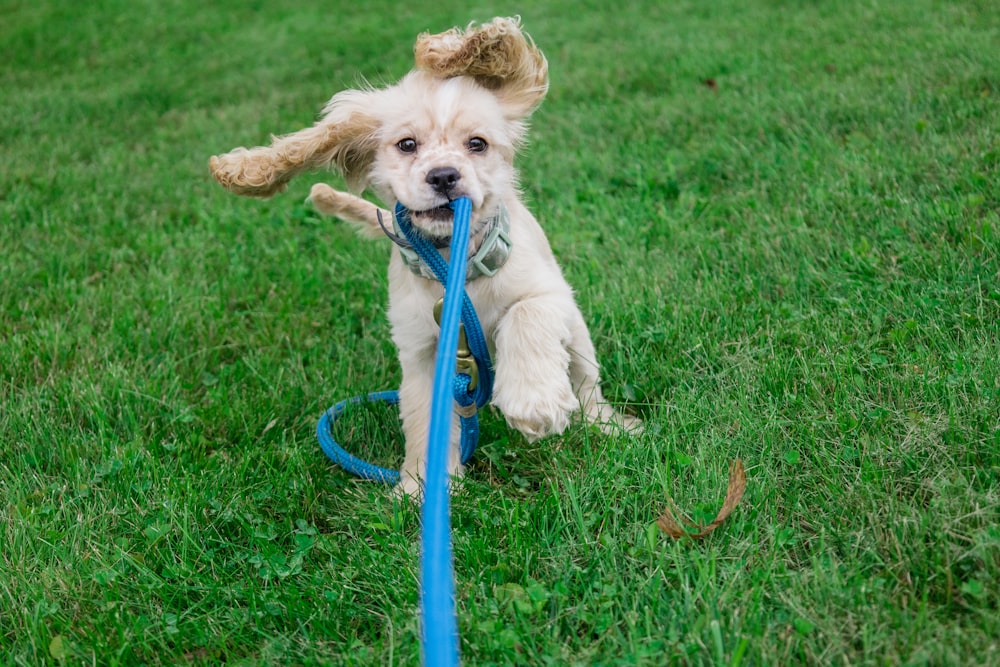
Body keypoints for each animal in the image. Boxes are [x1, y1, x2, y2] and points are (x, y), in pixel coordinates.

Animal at [209, 15, 640, 498]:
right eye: (407, 145)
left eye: (477, 144)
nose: (444, 176)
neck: (453, 263)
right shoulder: (421, 351)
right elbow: (423, 420)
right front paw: (419, 487)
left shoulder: (550, 292)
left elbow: (525, 315)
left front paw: (534, 401)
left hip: (579, 337)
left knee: (587, 386)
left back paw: (608, 425)